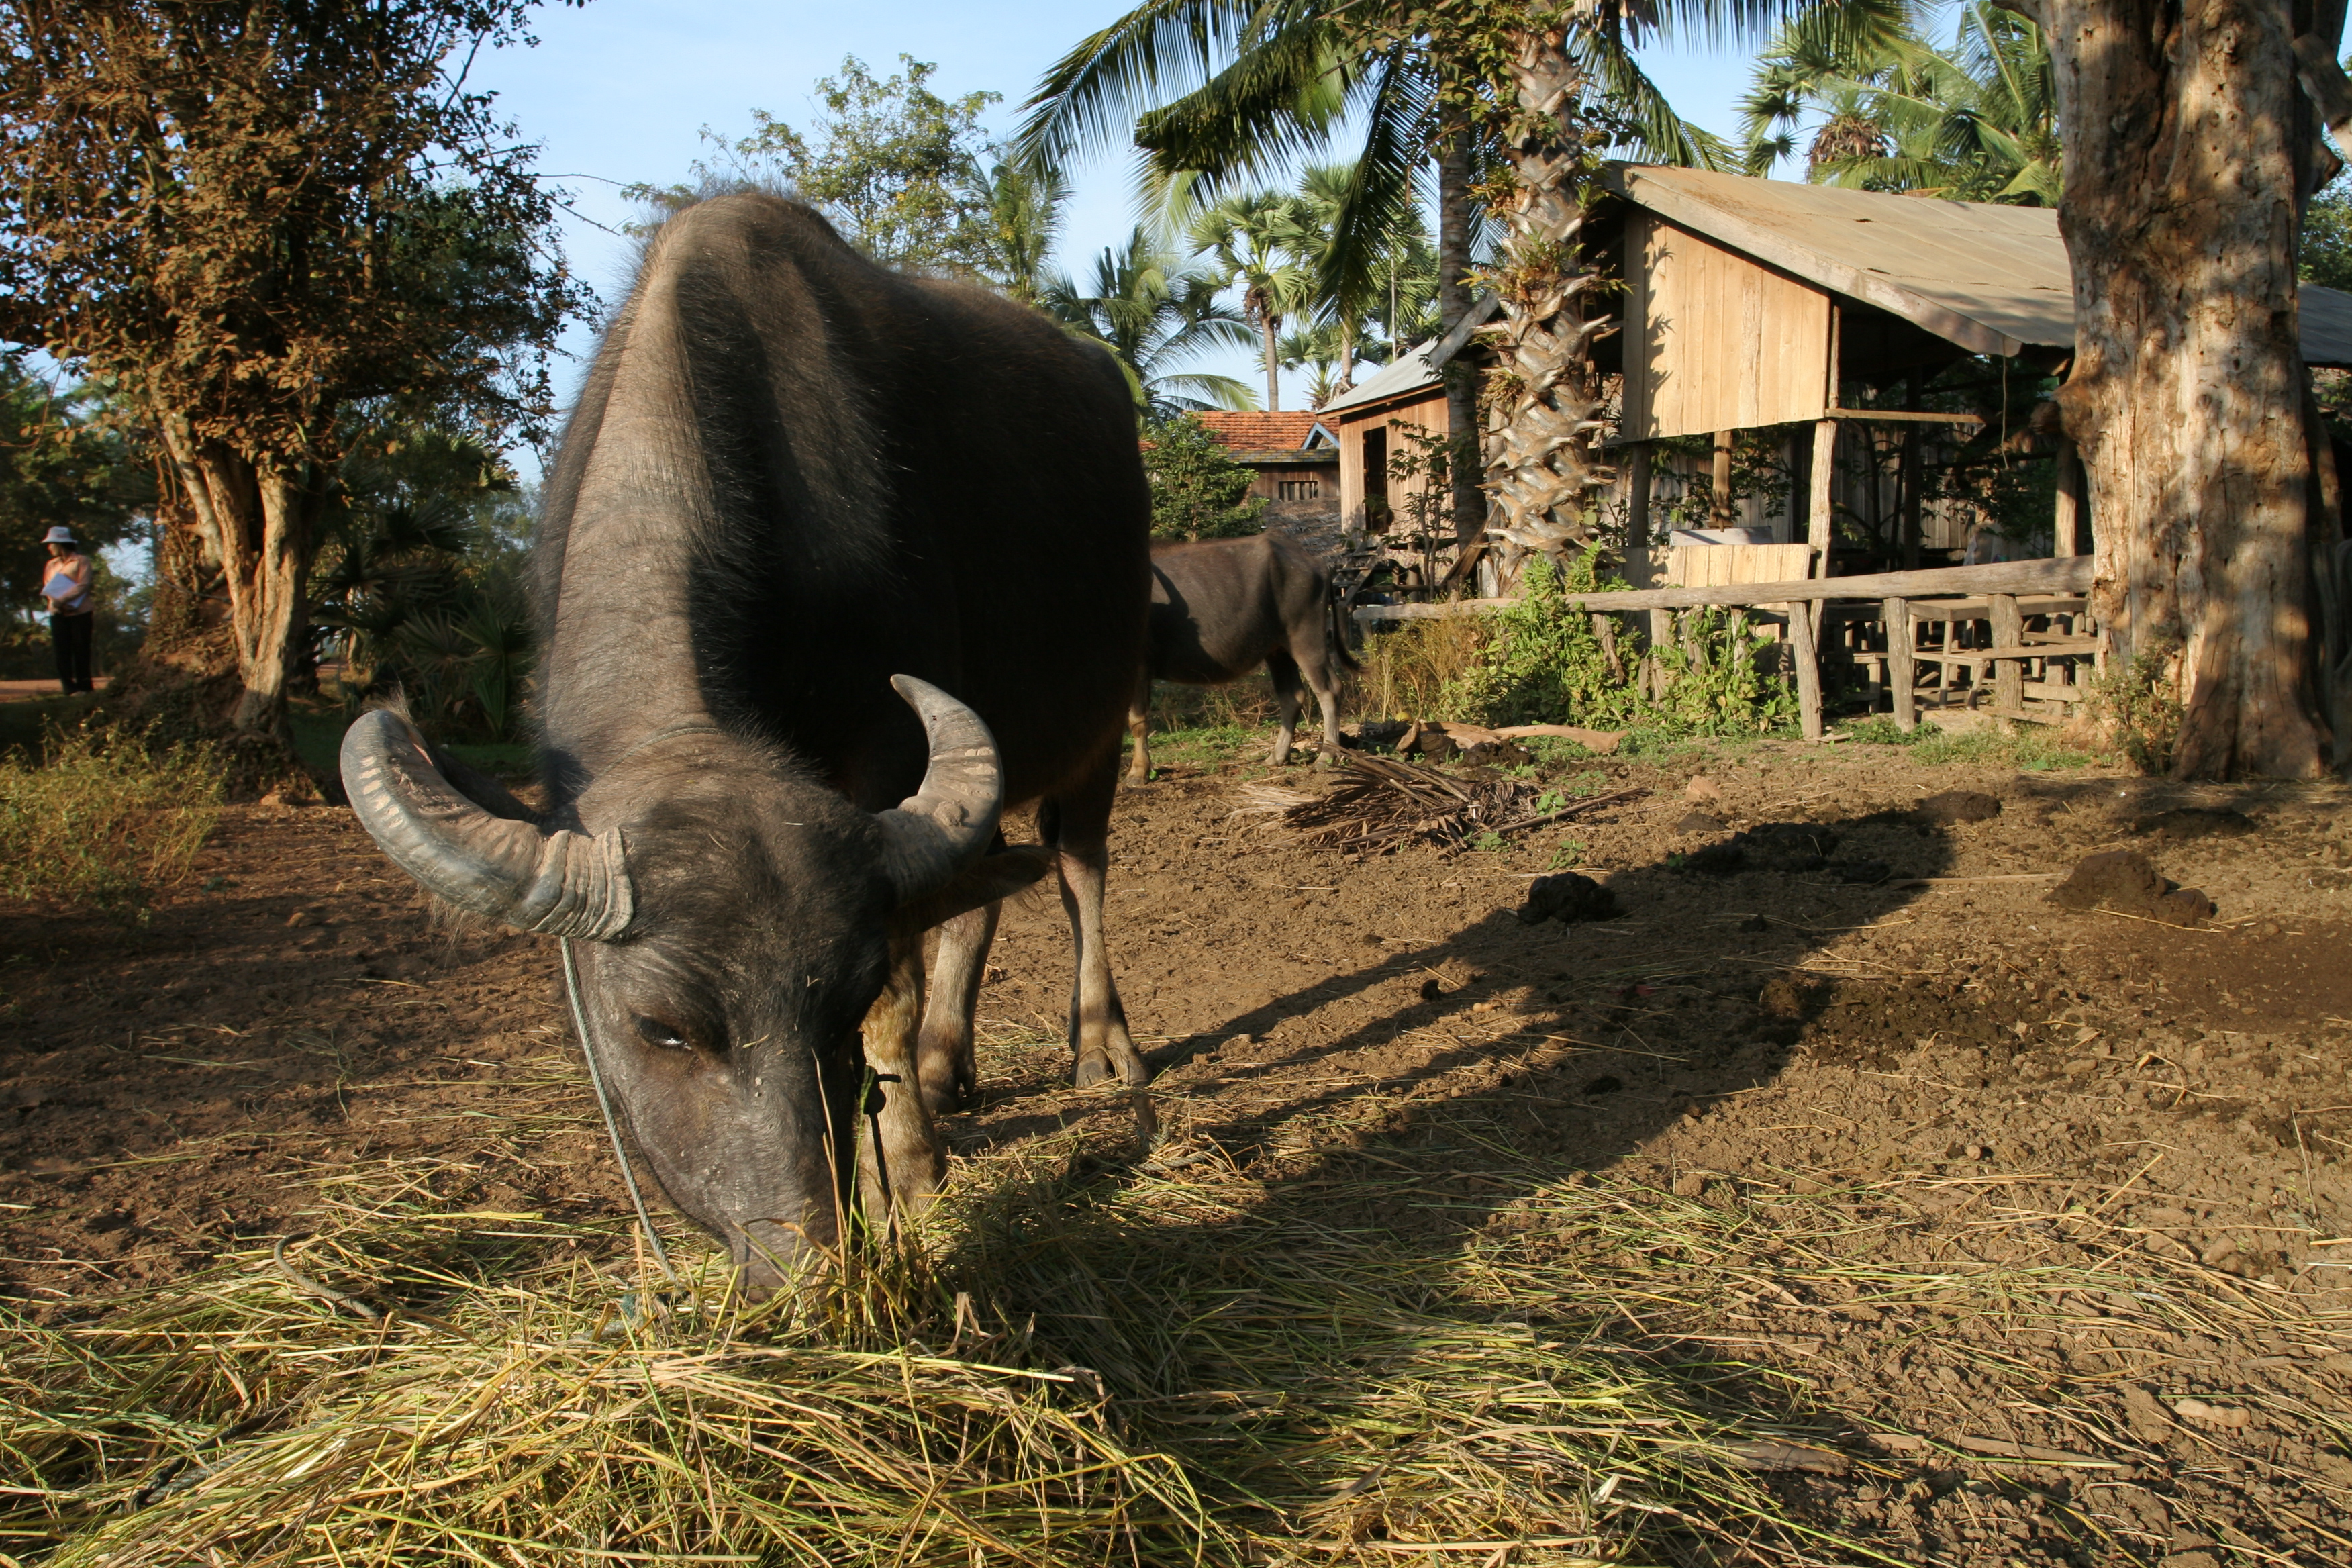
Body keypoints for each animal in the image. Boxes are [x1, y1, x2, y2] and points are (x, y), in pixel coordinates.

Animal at [341, 194, 1150, 1292]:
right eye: (661, 1028)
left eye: (840, 1004)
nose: (805, 1258)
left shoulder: (889, 759)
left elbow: (902, 988)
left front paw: (908, 1174)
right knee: (977, 895)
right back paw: (947, 1068)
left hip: (1104, 720)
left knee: (1078, 868)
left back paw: (1098, 1045)